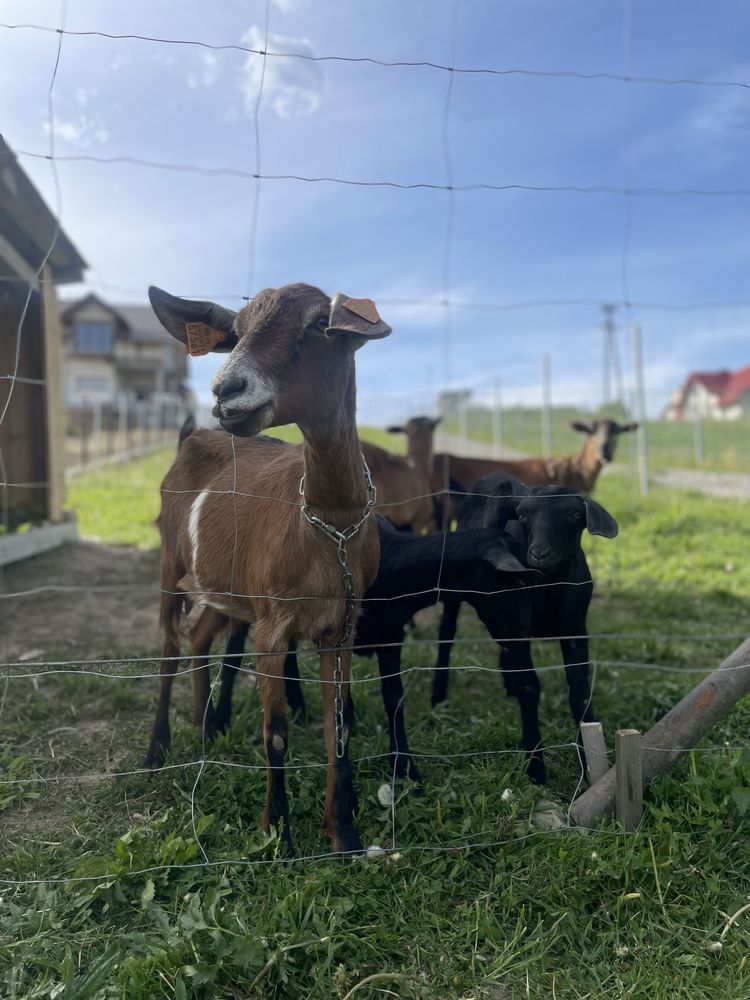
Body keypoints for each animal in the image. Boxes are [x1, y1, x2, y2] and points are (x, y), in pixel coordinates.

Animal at [145, 282, 394, 852]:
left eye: (319, 325)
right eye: (235, 333)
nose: (224, 390)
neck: (328, 530)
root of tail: (191, 437)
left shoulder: (341, 624)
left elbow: (339, 726)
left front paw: (343, 831)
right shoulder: (271, 626)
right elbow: (276, 733)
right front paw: (276, 834)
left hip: (225, 586)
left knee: (200, 639)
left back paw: (205, 730)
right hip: (171, 564)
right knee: (168, 649)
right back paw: (155, 752)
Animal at [432, 472, 620, 784]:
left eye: (575, 515)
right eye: (521, 515)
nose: (539, 554)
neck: (548, 586)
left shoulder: (575, 628)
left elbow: (579, 689)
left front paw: (587, 760)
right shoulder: (518, 627)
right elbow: (531, 686)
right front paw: (535, 764)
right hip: (453, 594)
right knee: (446, 633)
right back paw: (438, 695)